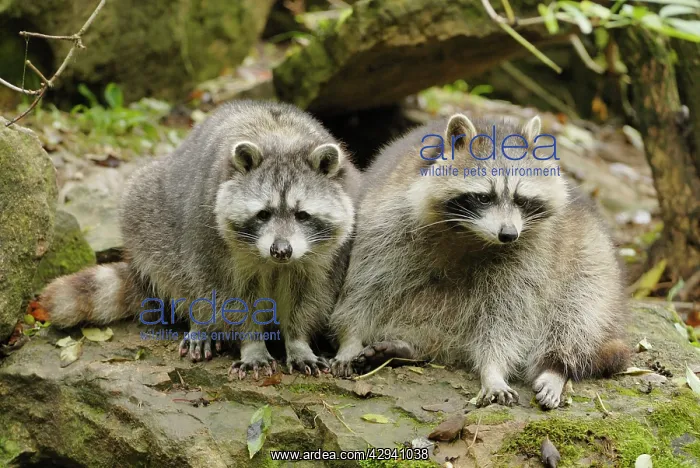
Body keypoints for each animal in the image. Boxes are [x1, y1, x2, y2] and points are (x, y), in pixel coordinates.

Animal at [41, 100, 361, 379]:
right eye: (263, 214)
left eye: (302, 215)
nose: (281, 250)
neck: (281, 139)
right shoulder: (211, 238)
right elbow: (228, 296)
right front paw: (252, 344)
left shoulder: (323, 259)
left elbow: (308, 295)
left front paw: (297, 341)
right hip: (151, 214)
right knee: (181, 273)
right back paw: (201, 324)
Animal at [329, 113, 629, 409]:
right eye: (484, 197)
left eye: (521, 200)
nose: (508, 234)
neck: (468, 233)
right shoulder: (387, 218)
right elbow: (367, 284)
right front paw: (351, 339)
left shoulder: (532, 250)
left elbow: (509, 313)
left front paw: (493, 369)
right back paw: (411, 347)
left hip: (592, 260)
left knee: (577, 314)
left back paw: (556, 367)